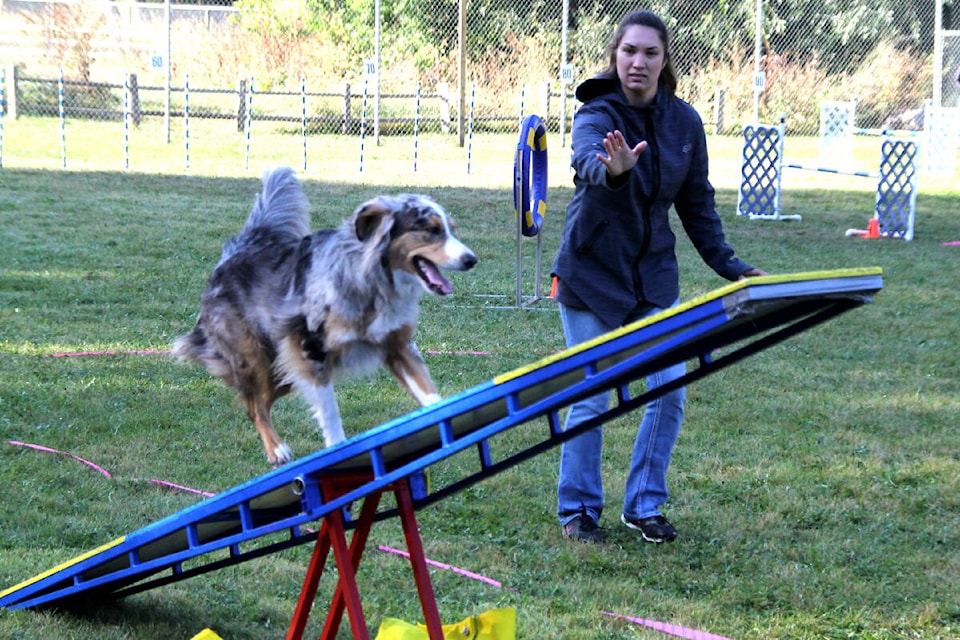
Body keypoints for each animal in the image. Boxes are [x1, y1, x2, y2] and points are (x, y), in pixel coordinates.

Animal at [174, 166, 478, 464]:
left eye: (451, 230)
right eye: (432, 230)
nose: (471, 260)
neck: (370, 279)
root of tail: (237, 252)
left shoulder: (396, 345)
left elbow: (430, 393)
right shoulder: (310, 350)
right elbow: (329, 410)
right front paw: (336, 449)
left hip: (282, 370)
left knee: (263, 399)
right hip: (254, 358)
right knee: (253, 405)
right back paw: (276, 449)